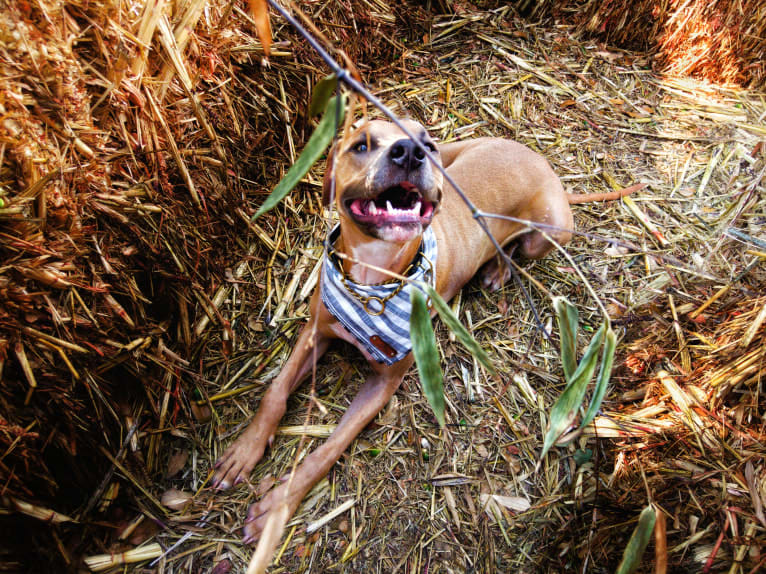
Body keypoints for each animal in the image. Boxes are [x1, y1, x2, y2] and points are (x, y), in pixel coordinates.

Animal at [213, 119, 572, 544]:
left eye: (423, 145)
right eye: (360, 145)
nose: (411, 151)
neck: (371, 282)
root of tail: (537, 158)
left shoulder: (383, 384)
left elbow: (326, 451)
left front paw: (276, 508)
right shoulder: (316, 329)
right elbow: (275, 392)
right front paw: (244, 450)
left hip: (549, 230)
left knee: (516, 249)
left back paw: (498, 269)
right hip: (458, 152)